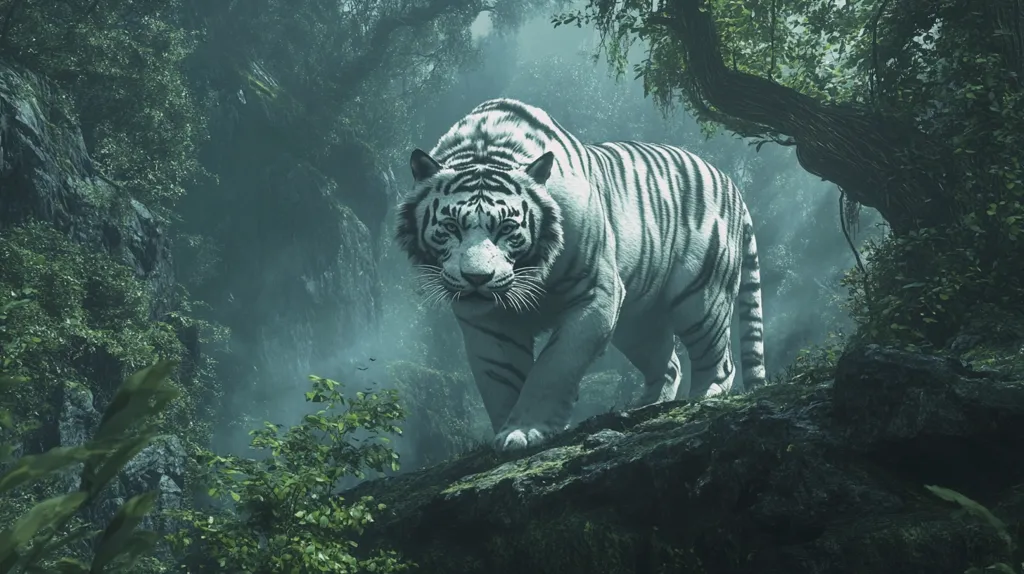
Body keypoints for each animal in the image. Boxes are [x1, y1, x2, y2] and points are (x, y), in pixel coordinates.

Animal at [395, 98, 765, 451]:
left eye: (507, 228)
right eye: (451, 227)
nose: (476, 278)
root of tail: (729, 182)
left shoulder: (595, 293)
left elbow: (555, 365)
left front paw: (525, 431)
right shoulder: (488, 323)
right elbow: (499, 380)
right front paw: (506, 430)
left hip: (700, 297)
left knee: (718, 359)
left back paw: (703, 397)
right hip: (638, 323)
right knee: (668, 361)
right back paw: (645, 405)